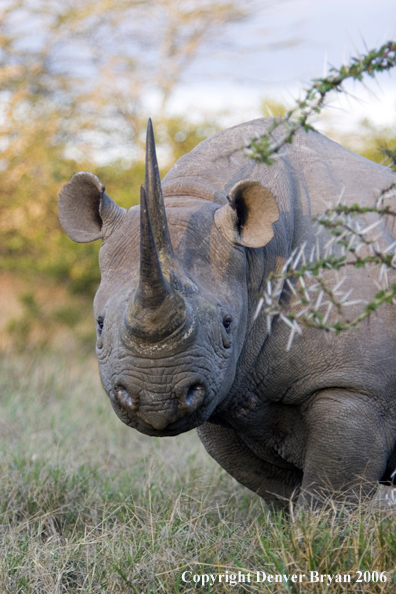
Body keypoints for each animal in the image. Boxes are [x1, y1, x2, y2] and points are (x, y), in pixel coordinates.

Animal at [58, 118, 396, 506]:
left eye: (227, 324)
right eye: (99, 324)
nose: (155, 401)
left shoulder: (357, 387)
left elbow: (331, 490)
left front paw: (324, 521)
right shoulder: (224, 386)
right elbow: (268, 482)